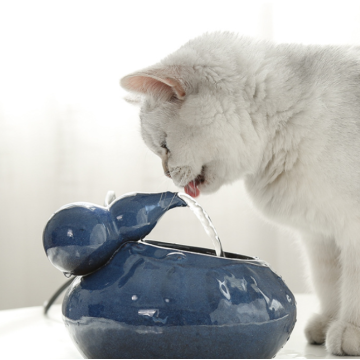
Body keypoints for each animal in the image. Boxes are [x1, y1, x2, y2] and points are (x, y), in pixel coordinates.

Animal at [120, 32, 360, 356]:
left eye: (164, 146)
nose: (167, 174)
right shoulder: (320, 237)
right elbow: (330, 286)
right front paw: (327, 324)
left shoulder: (351, 229)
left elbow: (352, 288)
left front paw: (349, 331)